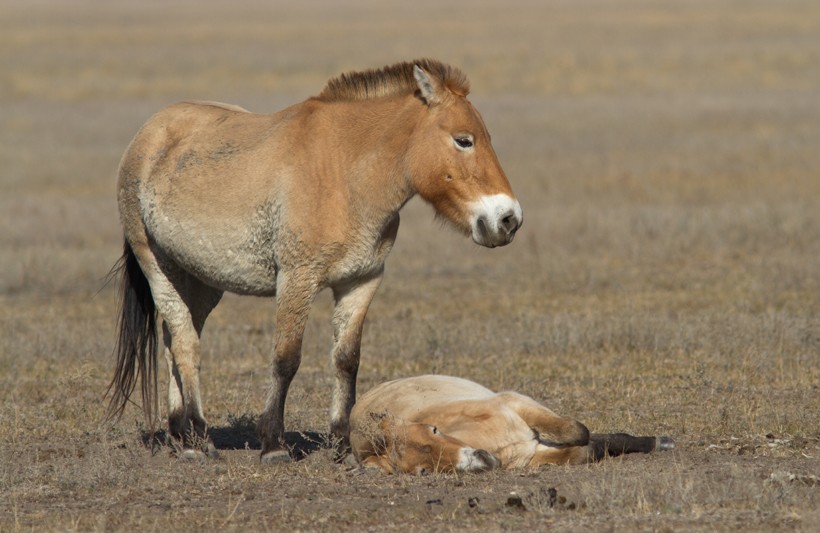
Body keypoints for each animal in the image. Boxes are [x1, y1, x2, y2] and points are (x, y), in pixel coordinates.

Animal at [109, 59, 524, 462]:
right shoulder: (297, 279)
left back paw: (180, 433)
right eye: (463, 140)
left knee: (173, 339)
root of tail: (149, 133)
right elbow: (286, 358)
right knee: (184, 344)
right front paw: (274, 444)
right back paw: (198, 439)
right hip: (157, 266)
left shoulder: (362, 281)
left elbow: (346, 359)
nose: (509, 219)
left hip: (200, 280)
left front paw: (341, 443)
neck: (344, 174)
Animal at [350, 374, 676, 474]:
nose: (479, 459)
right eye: (424, 471)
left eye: (433, 429)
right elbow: (584, 450)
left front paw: (658, 441)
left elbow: (579, 432)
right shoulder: (531, 453)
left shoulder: (517, 403)